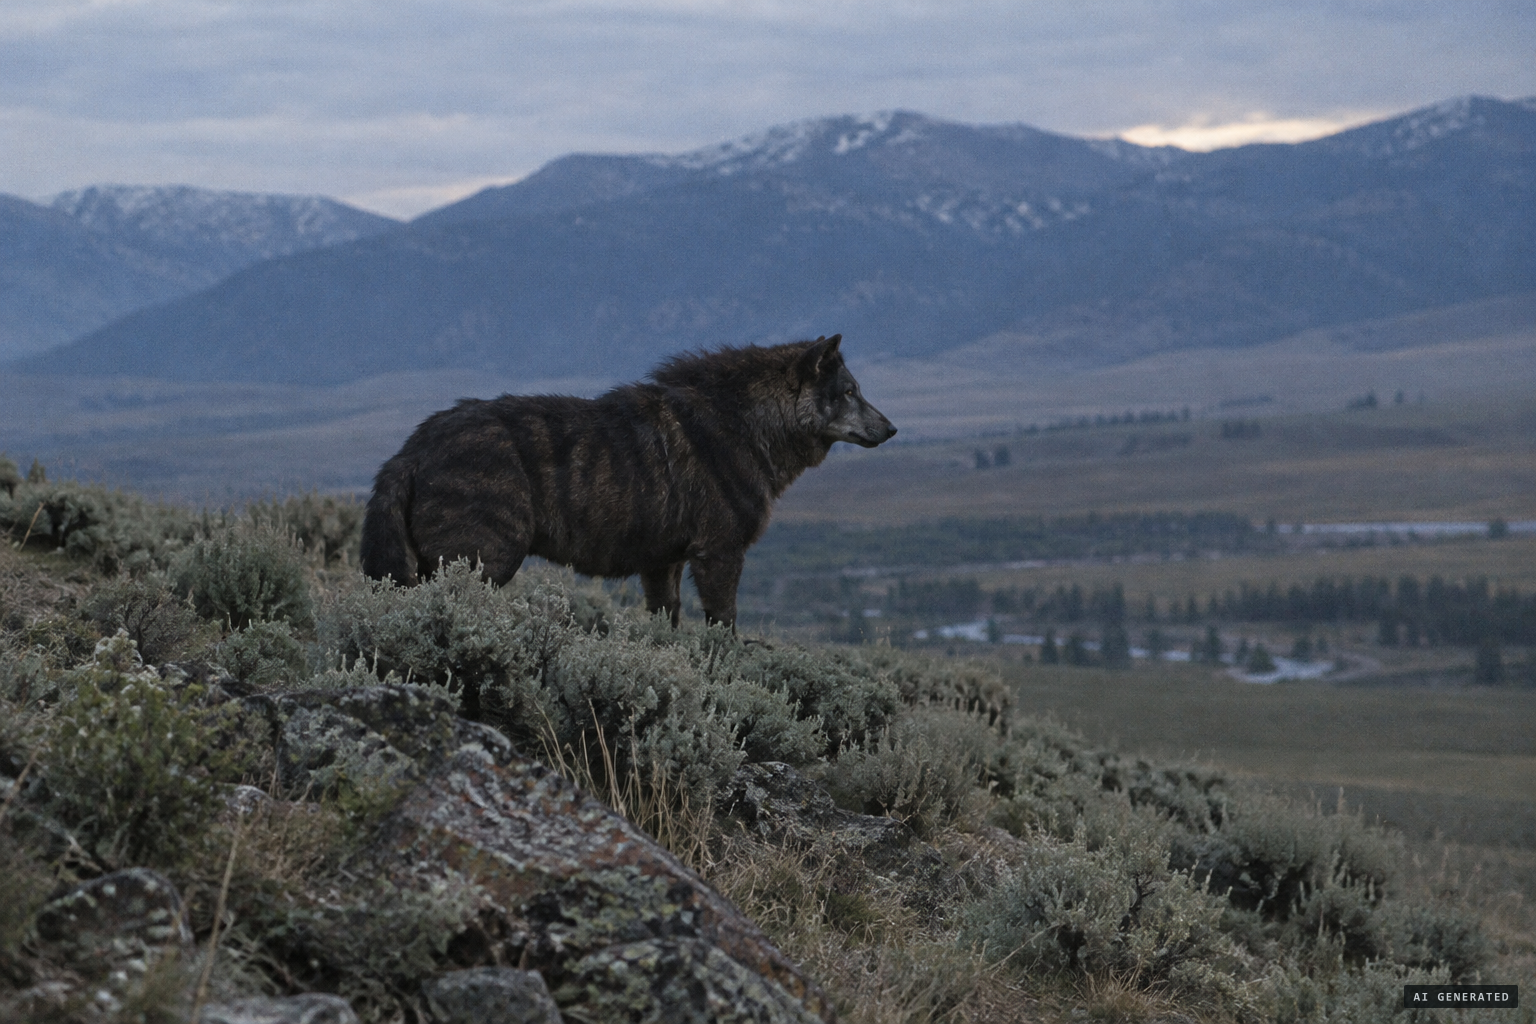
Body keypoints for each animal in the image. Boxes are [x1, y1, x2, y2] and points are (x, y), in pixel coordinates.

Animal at [359, 335, 896, 627]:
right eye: (849, 392)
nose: (892, 429)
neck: (743, 426)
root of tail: (410, 450)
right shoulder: (719, 556)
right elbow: (724, 630)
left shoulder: (661, 565)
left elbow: (667, 624)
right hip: (485, 566)